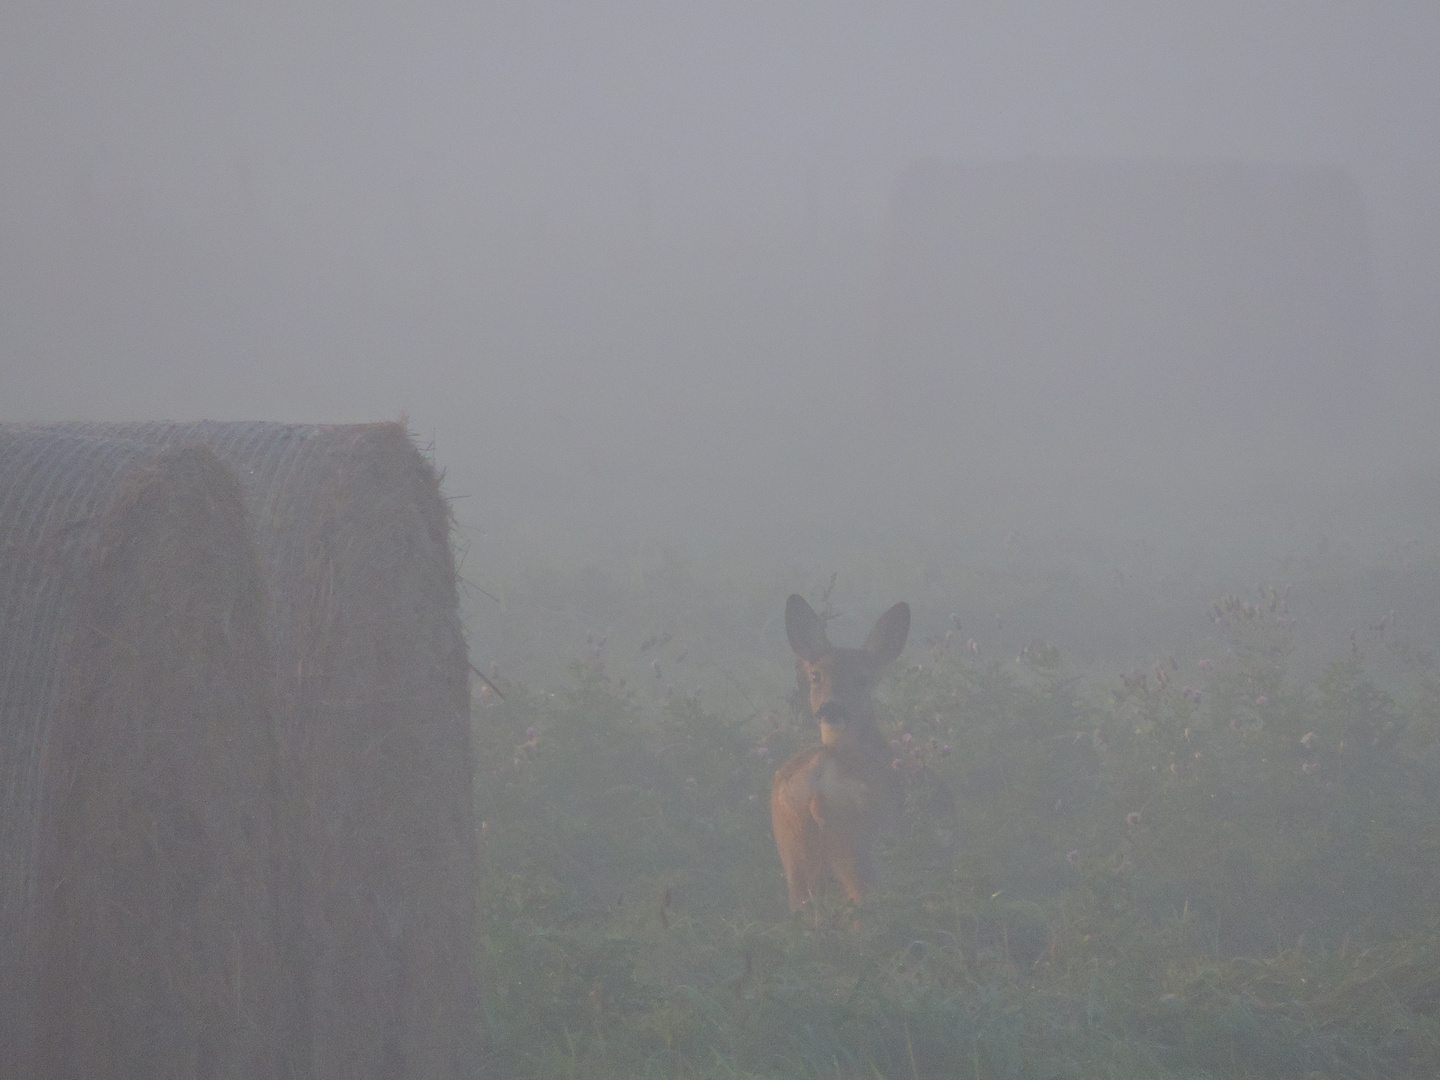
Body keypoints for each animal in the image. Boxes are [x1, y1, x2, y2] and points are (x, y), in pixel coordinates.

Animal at [771, 596, 904, 910]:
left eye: (862, 678)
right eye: (816, 675)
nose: (831, 707)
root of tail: (819, 786)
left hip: (794, 856)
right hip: (859, 850)